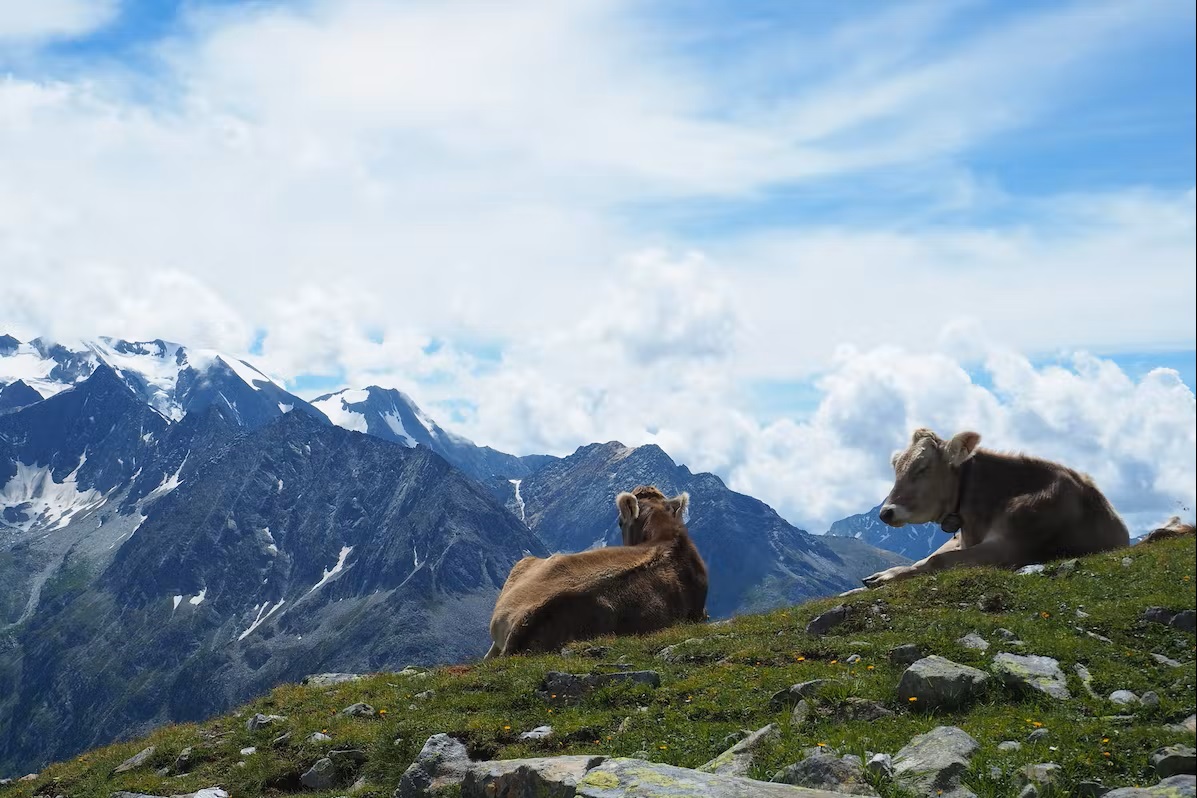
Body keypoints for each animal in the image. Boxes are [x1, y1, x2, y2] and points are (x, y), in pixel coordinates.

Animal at [862, 428, 1129, 587]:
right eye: (897, 468)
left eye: (922, 467)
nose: (886, 512)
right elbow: (927, 559)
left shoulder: (1010, 548)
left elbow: (936, 561)